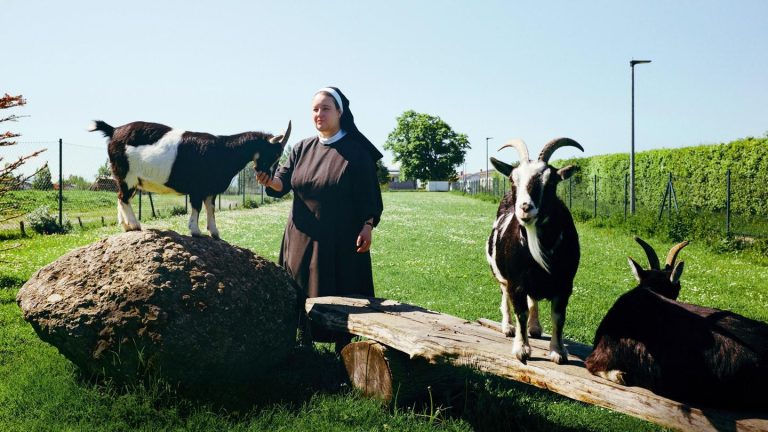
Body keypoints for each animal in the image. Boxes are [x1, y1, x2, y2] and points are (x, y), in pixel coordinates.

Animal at [89, 120, 292, 238]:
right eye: (274, 154)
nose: (267, 177)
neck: (223, 150)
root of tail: (114, 130)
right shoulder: (197, 188)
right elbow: (197, 207)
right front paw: (196, 231)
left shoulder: (210, 190)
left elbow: (210, 208)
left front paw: (214, 232)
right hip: (127, 174)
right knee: (123, 198)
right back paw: (135, 225)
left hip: (128, 178)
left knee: (120, 198)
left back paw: (126, 226)